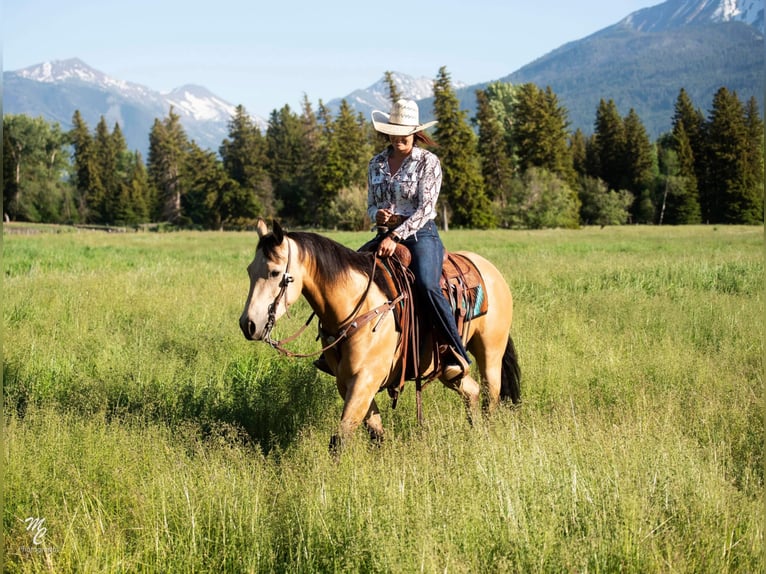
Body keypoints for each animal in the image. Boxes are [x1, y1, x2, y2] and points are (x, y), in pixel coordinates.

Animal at [237, 220, 520, 450]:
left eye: (275, 272)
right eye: (250, 270)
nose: (248, 325)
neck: (357, 307)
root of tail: (489, 269)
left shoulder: (365, 379)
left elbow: (339, 439)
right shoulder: (348, 382)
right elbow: (375, 433)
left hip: (490, 352)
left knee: (490, 395)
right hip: (444, 368)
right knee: (471, 391)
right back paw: (476, 434)